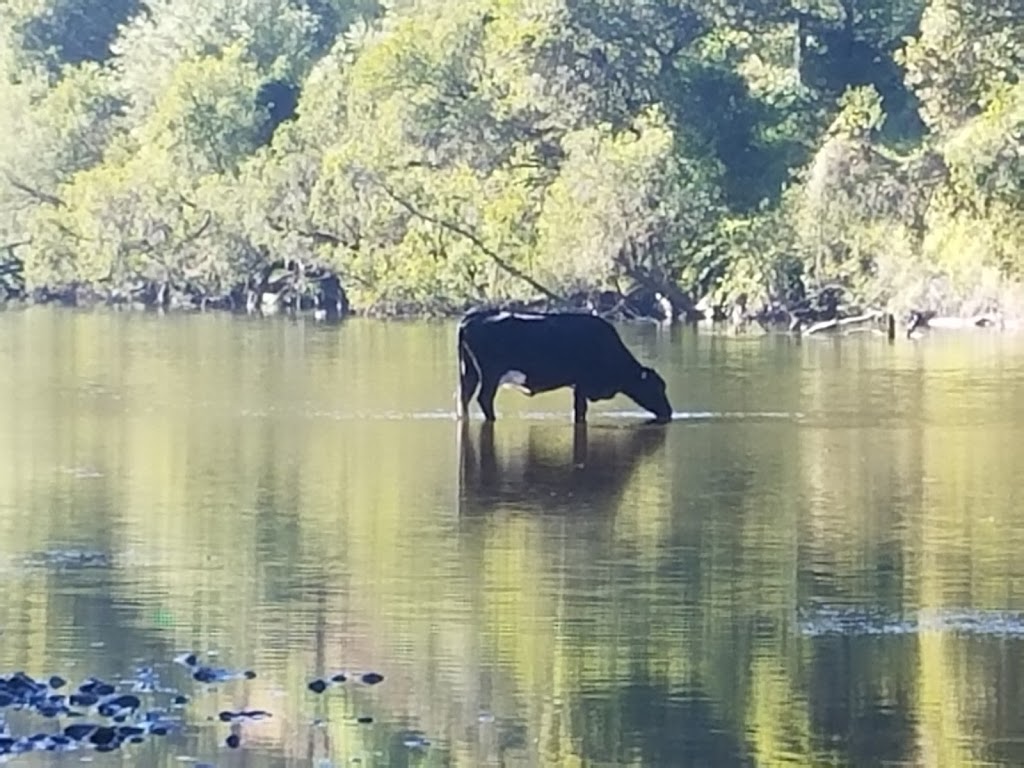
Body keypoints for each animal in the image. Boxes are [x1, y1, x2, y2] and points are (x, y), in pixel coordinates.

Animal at [456, 309, 671, 428]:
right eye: (656, 388)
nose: (668, 411)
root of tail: (470, 318)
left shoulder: (579, 386)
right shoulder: (583, 383)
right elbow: (580, 410)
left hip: (470, 372)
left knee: (463, 397)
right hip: (490, 374)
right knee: (484, 398)